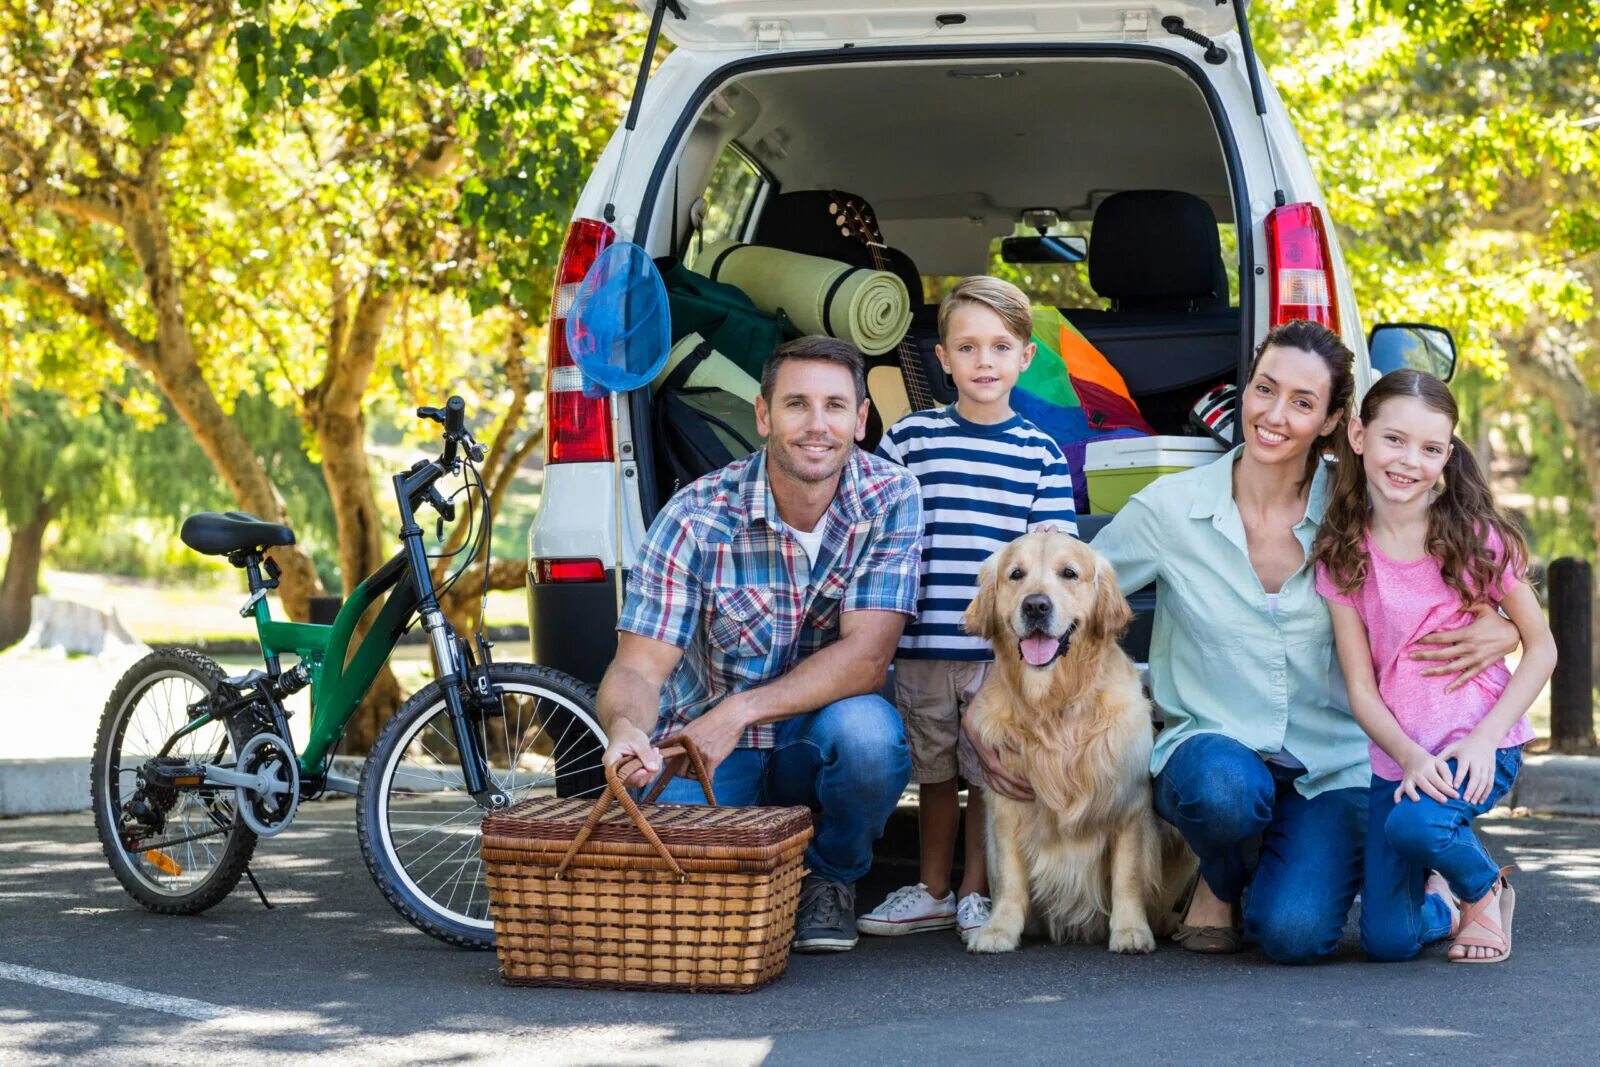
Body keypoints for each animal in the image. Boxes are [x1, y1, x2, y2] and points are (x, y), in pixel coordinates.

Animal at [953, 531, 1196, 953]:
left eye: (1069, 573)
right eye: (1016, 574)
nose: (1036, 605)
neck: (1056, 704)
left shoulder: (1129, 803)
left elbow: (1128, 875)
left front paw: (1131, 931)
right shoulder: (1004, 805)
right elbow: (1009, 877)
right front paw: (999, 929)